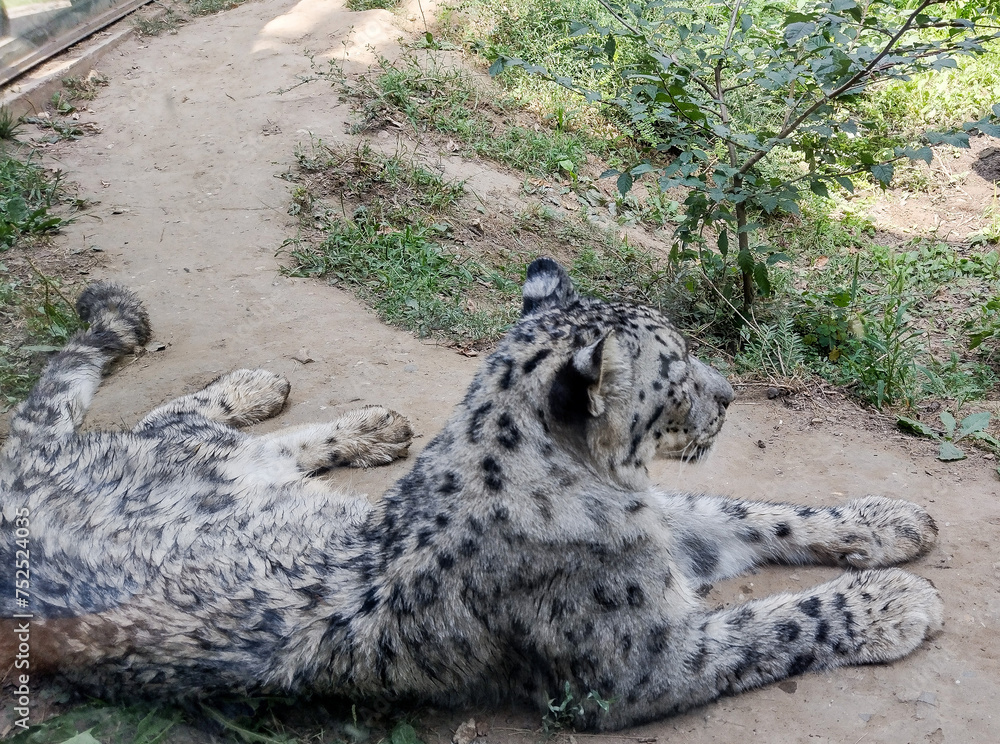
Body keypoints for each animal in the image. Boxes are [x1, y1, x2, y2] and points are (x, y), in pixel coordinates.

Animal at [0, 258, 942, 731]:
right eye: (675, 374)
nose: (731, 393)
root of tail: (20, 474)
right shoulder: (638, 662)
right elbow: (775, 626)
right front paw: (893, 601)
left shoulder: (674, 533)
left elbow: (752, 511)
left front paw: (892, 521)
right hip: (170, 459)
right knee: (169, 413)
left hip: (223, 469)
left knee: (206, 426)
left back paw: (341, 415)